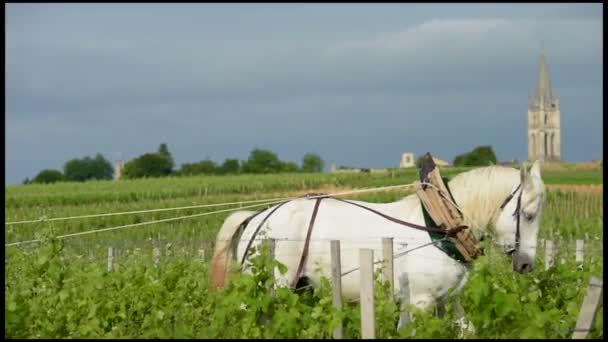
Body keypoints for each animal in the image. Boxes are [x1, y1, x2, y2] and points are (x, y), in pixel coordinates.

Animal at [210, 162, 548, 330]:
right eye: (529, 215)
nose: (526, 264)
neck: (438, 228)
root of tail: (257, 216)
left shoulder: (448, 301)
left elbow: (466, 329)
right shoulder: (419, 301)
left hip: (297, 289)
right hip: (270, 286)